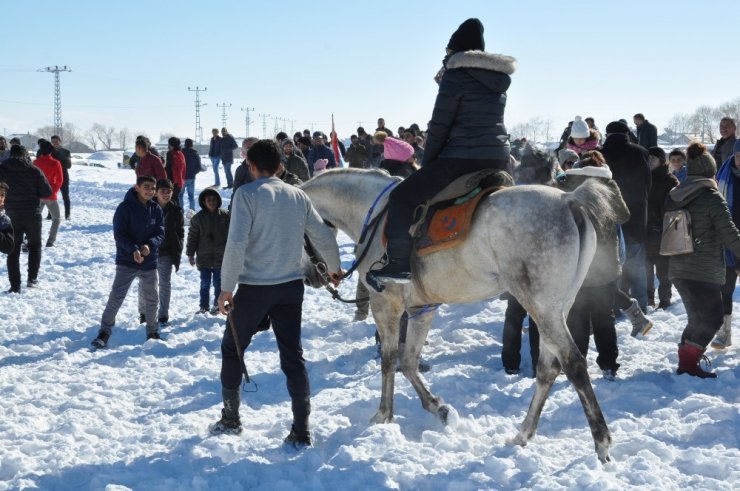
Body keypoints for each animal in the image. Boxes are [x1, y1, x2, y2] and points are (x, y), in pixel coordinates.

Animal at [302, 168, 624, 462]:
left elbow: (389, 361)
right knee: (548, 368)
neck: (372, 214)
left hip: (541, 306)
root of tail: (569, 200)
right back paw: (523, 434)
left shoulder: (385, 306)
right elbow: (409, 361)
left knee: (574, 363)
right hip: (556, 307)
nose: (311, 277)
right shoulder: (422, 309)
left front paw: (383, 415)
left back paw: (601, 441)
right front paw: (438, 408)